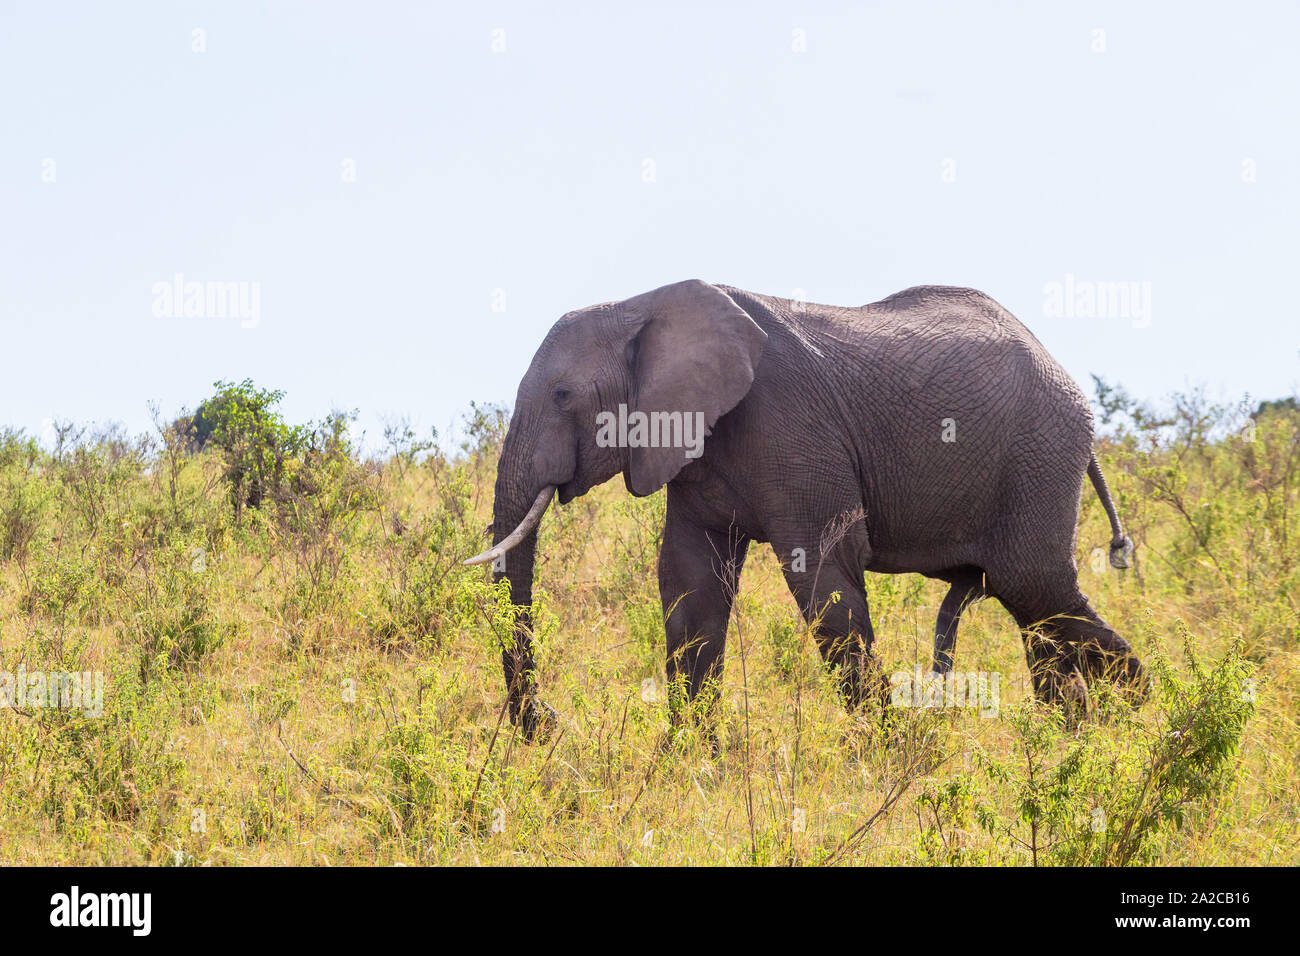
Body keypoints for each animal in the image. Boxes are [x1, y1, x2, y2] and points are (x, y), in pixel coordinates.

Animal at [465, 279, 1148, 739]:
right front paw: (689, 760)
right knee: (1034, 610)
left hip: (1039, 455)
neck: (642, 303)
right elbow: (690, 579)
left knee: (1037, 587)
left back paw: (1141, 722)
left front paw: (884, 754)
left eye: (562, 396)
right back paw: (1072, 736)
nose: (547, 722)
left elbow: (818, 572)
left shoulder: (792, 428)